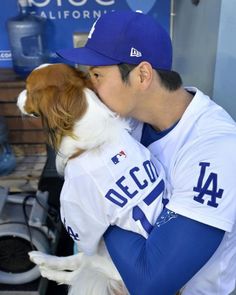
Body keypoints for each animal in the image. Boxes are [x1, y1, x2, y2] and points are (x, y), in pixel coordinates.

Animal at [17, 64, 130, 295]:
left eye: (28, 90)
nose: (17, 96)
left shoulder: (83, 226)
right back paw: (41, 259)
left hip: (101, 256)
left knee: (77, 271)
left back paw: (46, 268)